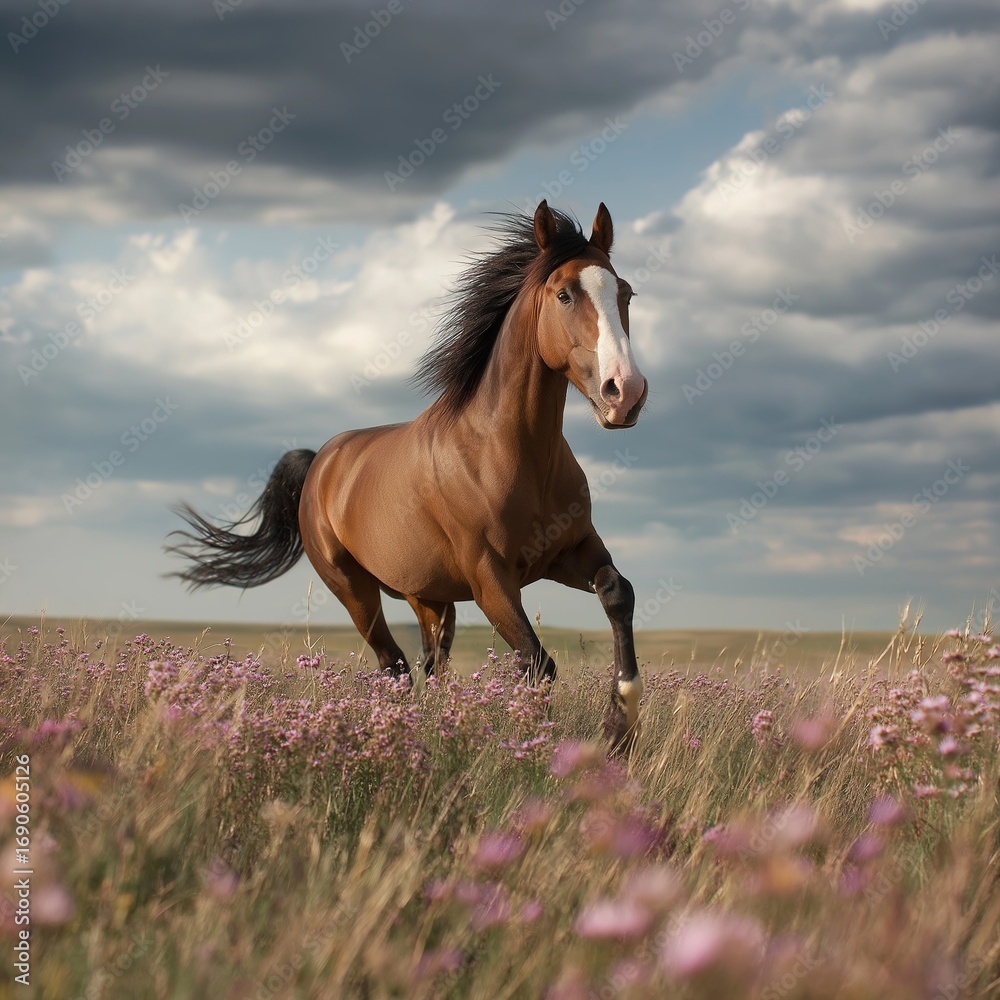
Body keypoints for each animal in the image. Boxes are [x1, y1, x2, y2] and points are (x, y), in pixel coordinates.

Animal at [167, 200, 649, 751]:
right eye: (565, 293)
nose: (625, 393)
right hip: (356, 591)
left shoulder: (569, 552)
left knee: (428, 666)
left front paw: (620, 726)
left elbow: (616, 592)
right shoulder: (491, 579)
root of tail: (320, 463)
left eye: (625, 292)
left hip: (430, 599)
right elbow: (537, 663)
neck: (514, 455)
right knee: (394, 666)